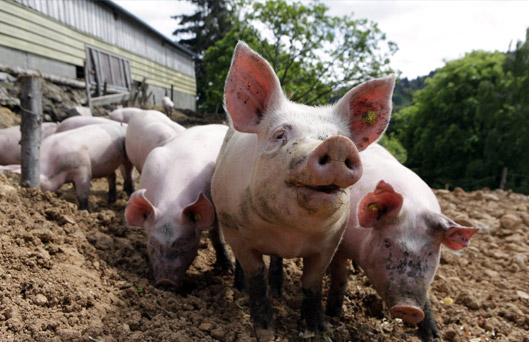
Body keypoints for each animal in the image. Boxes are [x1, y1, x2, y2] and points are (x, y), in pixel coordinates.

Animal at [125, 124, 232, 290]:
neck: (171, 201)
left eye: (183, 242)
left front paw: (228, 270)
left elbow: (216, 235)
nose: (165, 282)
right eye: (151, 243)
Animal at [208, 41, 394, 338]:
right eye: (280, 135)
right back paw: (241, 288)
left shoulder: (330, 242)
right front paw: (265, 332)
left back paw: (280, 290)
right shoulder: (235, 229)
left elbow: (312, 284)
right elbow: (256, 276)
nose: (338, 144)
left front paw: (319, 330)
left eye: (339, 137)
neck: (289, 234)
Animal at [324, 143, 480, 340]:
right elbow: (340, 277)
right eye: (387, 243)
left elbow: (426, 298)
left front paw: (434, 336)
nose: (409, 307)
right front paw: (332, 315)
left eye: (431, 252)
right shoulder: (341, 244)